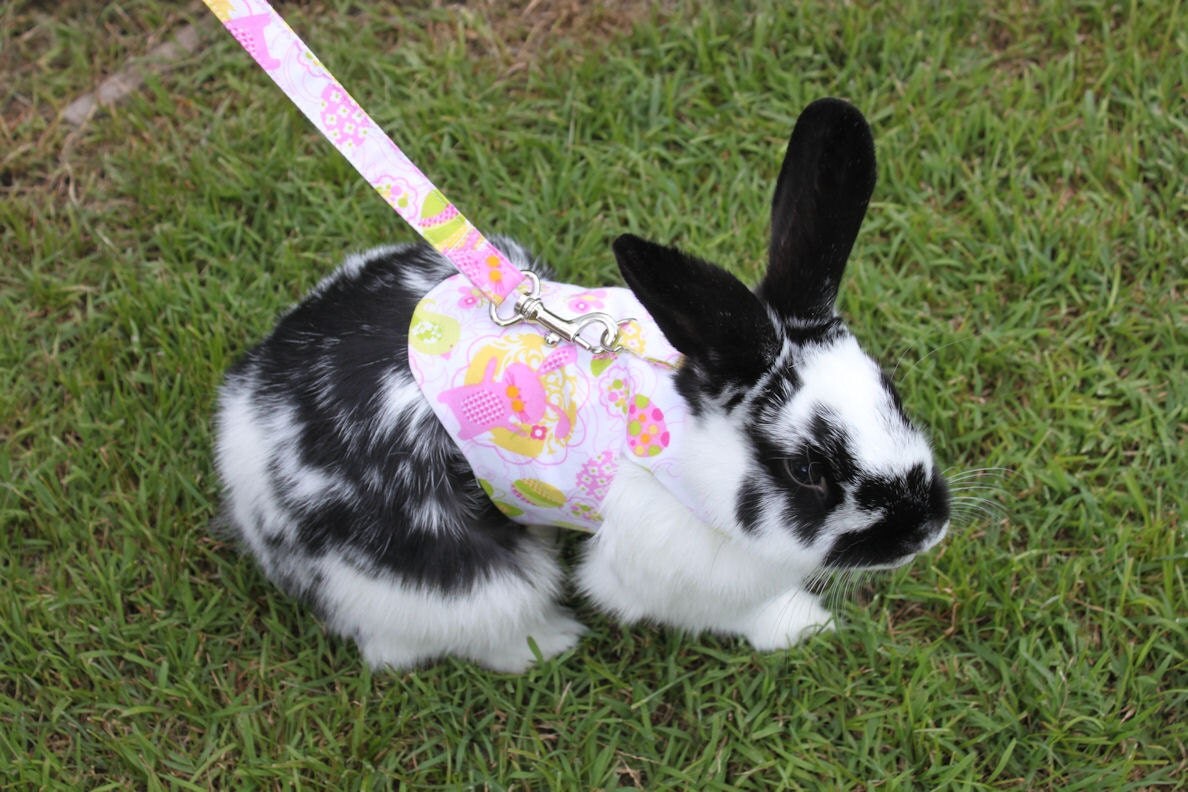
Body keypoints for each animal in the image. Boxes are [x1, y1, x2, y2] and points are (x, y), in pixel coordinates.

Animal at [213, 98, 951, 672]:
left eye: (891, 392)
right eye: (805, 470)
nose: (925, 530)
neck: (684, 441)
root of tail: (242, 442)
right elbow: (745, 611)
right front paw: (805, 627)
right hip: (455, 579)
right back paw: (555, 641)